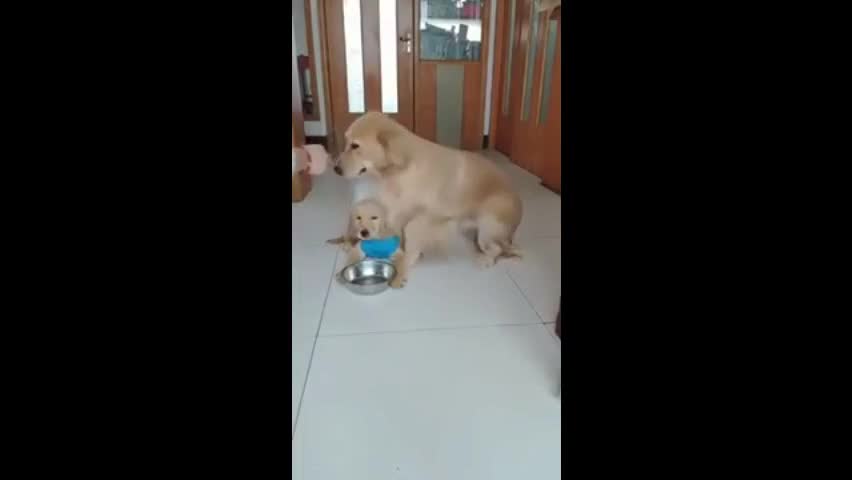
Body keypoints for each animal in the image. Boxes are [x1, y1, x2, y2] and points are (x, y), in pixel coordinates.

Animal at [332, 110, 520, 272]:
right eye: (347, 143)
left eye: (355, 146)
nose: (336, 169)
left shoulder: (422, 215)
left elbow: (409, 232)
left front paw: (407, 257)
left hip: (488, 227)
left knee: (497, 249)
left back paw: (486, 259)